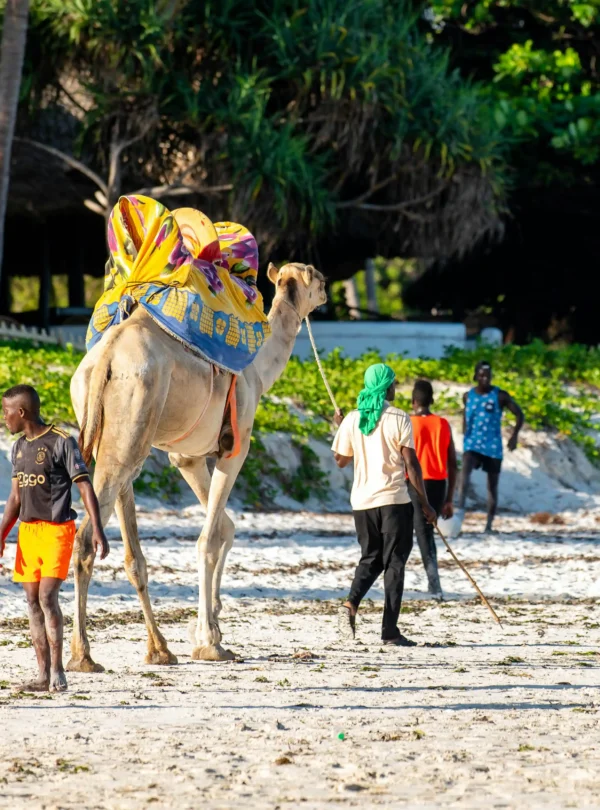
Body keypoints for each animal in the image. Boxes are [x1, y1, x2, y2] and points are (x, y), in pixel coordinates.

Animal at [66, 261, 327, 671]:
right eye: (313, 274)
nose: (328, 286)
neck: (258, 371)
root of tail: (106, 357)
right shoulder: (236, 447)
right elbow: (209, 537)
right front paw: (209, 641)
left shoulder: (187, 458)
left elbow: (224, 527)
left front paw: (211, 625)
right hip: (132, 428)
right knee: (89, 535)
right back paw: (85, 656)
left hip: (112, 430)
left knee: (119, 546)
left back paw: (154, 649)